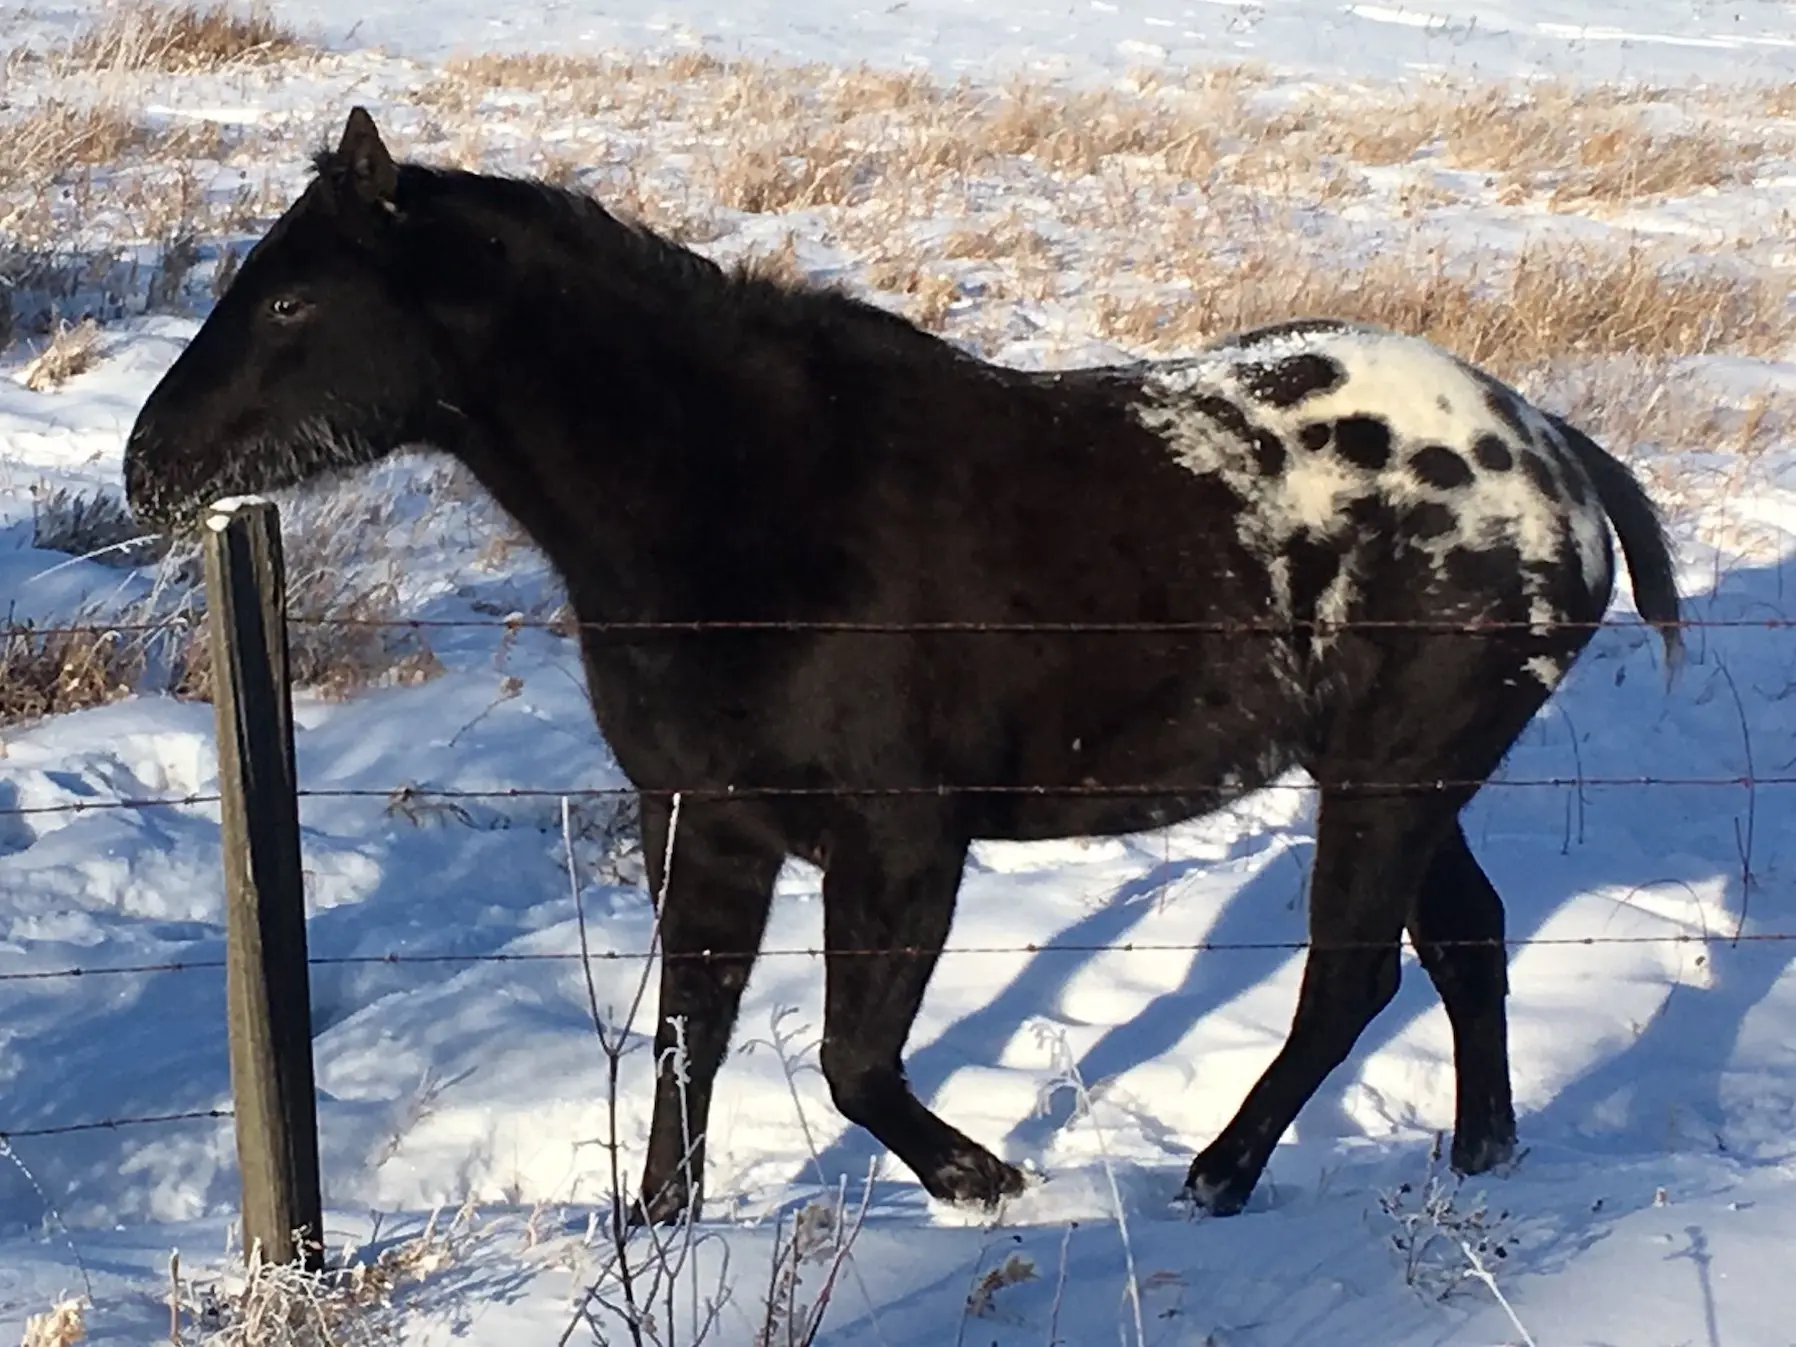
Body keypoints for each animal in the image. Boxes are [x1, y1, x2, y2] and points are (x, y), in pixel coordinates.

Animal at [126, 110, 1681, 1228]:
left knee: (1349, 975)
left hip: (1388, 774)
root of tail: (1553, 453)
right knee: (1463, 940)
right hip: (1397, 778)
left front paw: (984, 1179)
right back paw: (1477, 1157)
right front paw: (658, 1231)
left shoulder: (898, 845)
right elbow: (690, 1037)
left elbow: (850, 1061)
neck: (743, 501)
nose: (148, 465)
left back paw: (1220, 1173)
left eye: (290, 307)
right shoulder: (708, 826)